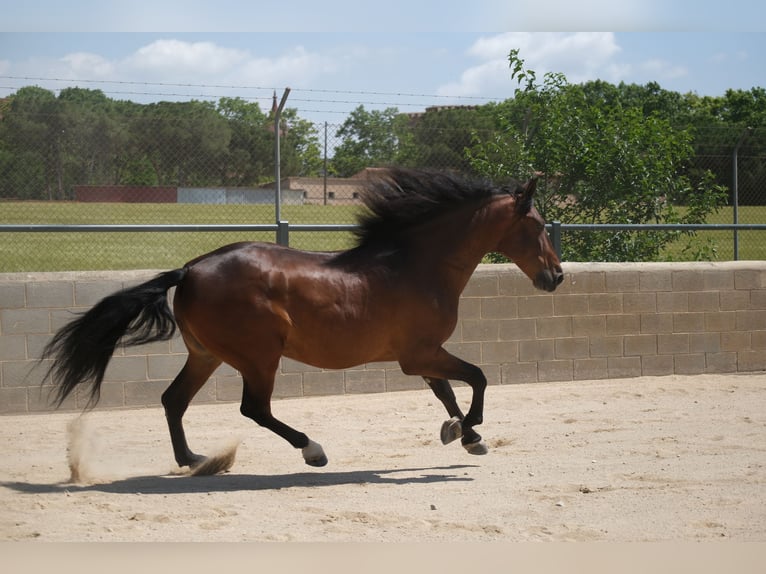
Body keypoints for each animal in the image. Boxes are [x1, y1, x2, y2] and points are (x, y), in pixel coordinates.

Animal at [45, 169, 568, 480]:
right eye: (539, 225)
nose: (556, 277)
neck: (417, 264)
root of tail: (190, 269)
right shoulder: (419, 353)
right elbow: (476, 378)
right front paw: (472, 430)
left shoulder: (421, 354)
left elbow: (445, 392)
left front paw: (464, 435)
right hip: (259, 356)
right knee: (253, 408)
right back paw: (311, 450)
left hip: (207, 355)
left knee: (174, 400)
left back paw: (195, 460)